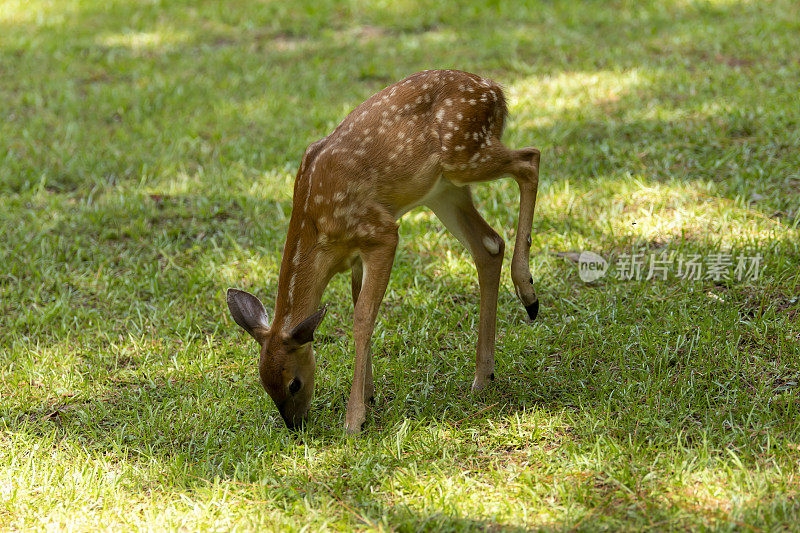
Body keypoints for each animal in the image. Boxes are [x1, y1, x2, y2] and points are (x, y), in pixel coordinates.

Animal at [228, 68, 540, 434]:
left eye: (293, 383)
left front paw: (354, 419)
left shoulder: (380, 232)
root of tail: (495, 90)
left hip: (464, 151)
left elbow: (363, 316)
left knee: (530, 159)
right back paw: (483, 377)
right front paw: (369, 394)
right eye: (264, 384)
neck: (318, 230)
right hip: (445, 189)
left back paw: (528, 295)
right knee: (490, 244)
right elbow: (359, 305)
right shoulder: (356, 259)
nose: (295, 425)